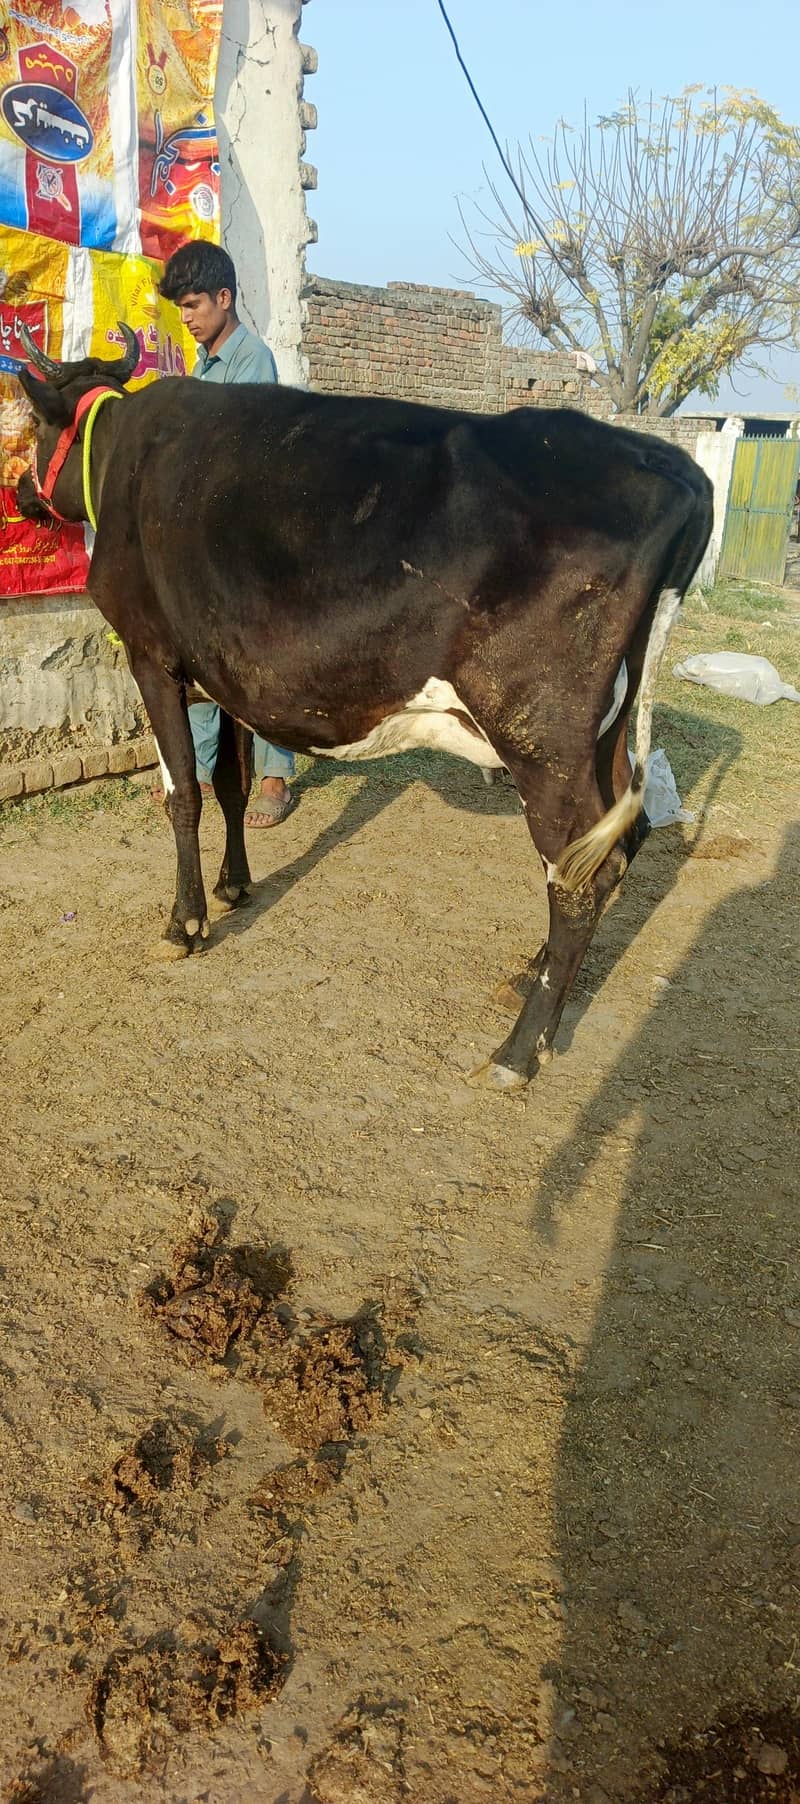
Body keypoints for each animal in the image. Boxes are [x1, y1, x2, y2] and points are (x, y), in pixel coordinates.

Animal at [15, 325, 712, 1091]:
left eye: (34, 426)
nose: (19, 493)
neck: (123, 454)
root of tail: (666, 461)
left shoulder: (152, 659)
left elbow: (184, 796)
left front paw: (185, 925)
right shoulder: (224, 671)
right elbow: (230, 786)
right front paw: (235, 886)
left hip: (540, 735)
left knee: (582, 877)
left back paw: (517, 1051)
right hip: (606, 731)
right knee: (614, 843)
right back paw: (529, 979)